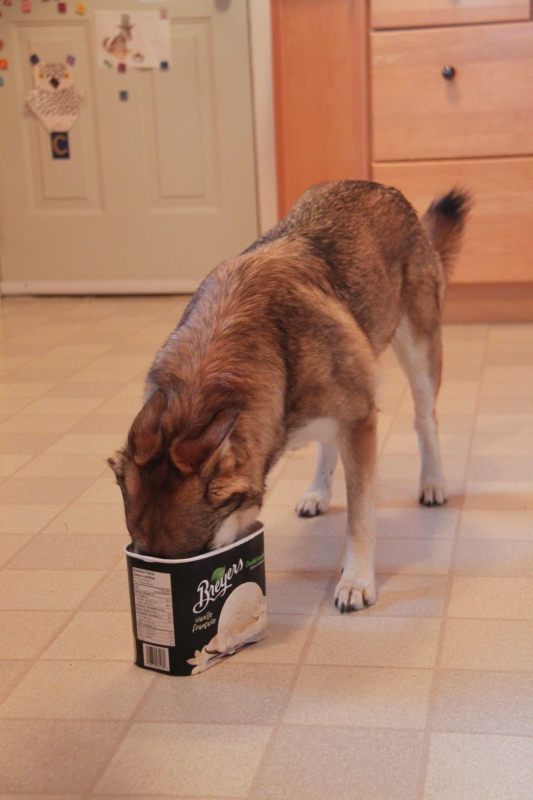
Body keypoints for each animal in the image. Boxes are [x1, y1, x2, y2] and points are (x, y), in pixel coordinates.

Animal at [109, 180, 470, 612]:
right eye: (143, 555)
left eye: (194, 558)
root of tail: (383, 187)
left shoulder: (361, 419)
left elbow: (360, 517)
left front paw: (357, 581)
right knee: (329, 444)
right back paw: (317, 493)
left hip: (418, 356)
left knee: (424, 420)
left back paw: (433, 483)